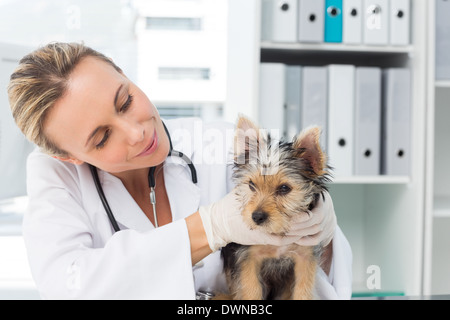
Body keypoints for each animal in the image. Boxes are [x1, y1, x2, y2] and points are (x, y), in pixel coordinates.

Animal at [221, 115, 330, 300]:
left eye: (284, 188)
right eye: (251, 185)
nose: (256, 217)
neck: (278, 233)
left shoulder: (305, 257)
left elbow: (303, 288)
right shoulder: (247, 257)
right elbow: (251, 289)